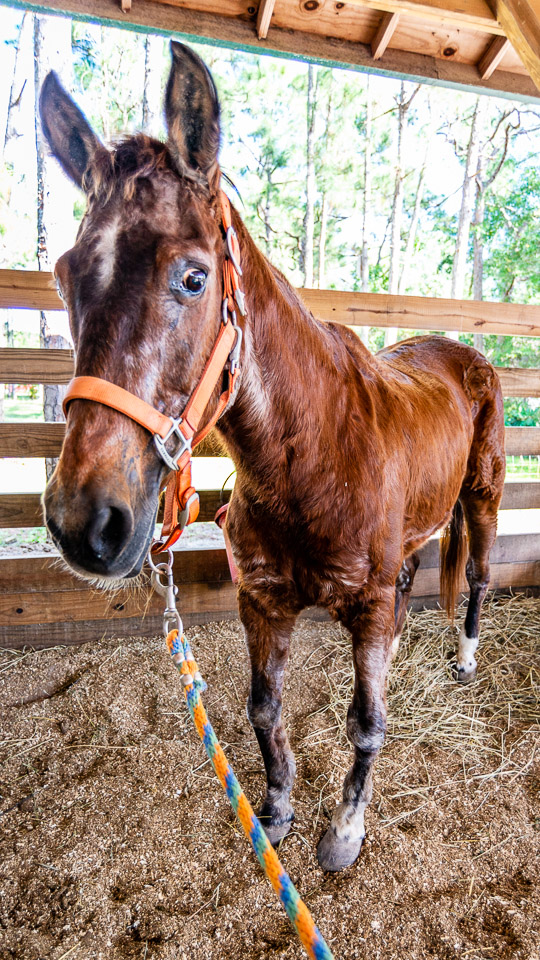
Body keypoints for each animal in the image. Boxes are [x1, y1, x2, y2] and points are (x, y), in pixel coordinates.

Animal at [39, 43, 506, 872]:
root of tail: (463, 352)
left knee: (478, 574)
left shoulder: (364, 608)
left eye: (193, 277)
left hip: (481, 496)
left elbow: (366, 723)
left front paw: (344, 830)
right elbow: (264, 709)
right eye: (65, 276)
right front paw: (279, 809)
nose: (84, 525)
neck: (313, 457)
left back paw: (465, 660)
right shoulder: (262, 603)